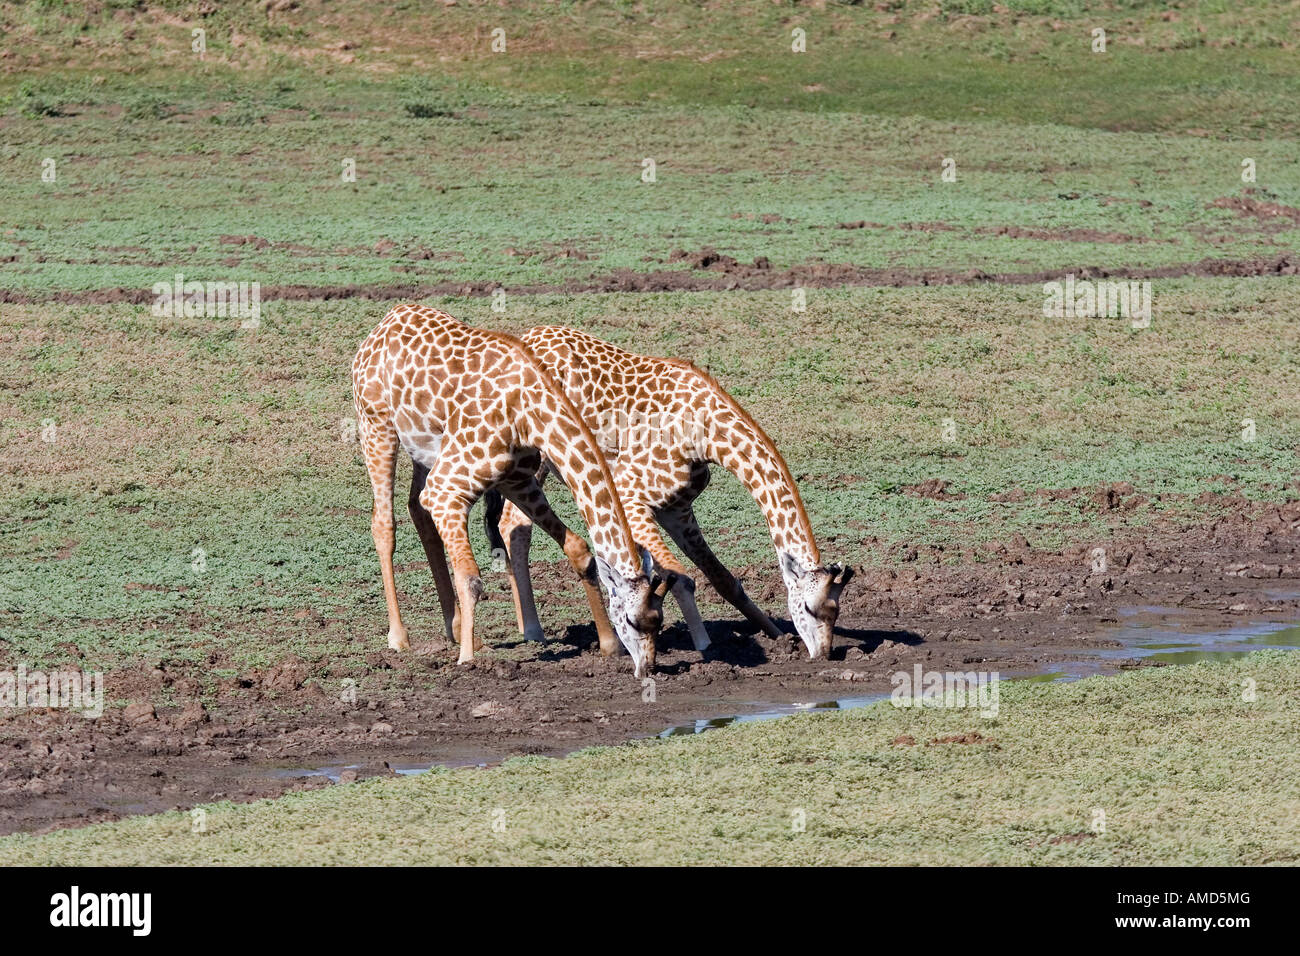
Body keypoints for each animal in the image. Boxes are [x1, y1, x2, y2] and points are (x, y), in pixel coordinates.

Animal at [351, 305, 673, 678]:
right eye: (634, 621)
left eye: (658, 621)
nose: (648, 667)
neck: (530, 411)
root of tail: (384, 322)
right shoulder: (448, 488)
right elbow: (471, 577)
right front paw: (467, 660)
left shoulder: (517, 480)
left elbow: (579, 550)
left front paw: (609, 645)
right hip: (376, 427)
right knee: (383, 523)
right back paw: (400, 638)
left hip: (424, 450)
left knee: (417, 509)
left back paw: (455, 628)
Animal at [483, 326, 854, 661]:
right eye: (810, 607)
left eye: (836, 610)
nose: (823, 653)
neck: (705, 434)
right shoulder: (631, 497)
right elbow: (681, 577)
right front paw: (705, 646)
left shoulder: (676, 509)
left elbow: (722, 579)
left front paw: (777, 636)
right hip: (536, 459)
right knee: (514, 525)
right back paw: (534, 630)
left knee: (511, 524)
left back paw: (527, 627)